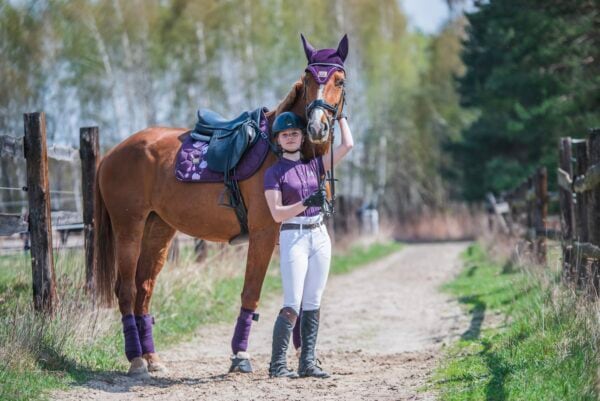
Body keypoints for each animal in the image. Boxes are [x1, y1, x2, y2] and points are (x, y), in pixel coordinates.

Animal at [93, 33, 346, 376]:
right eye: (308, 79)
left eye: (339, 80)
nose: (317, 127)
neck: (286, 154)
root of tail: (112, 153)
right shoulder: (264, 232)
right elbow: (252, 292)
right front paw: (240, 355)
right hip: (128, 228)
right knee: (126, 290)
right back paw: (136, 360)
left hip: (157, 229)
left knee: (144, 288)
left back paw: (152, 358)